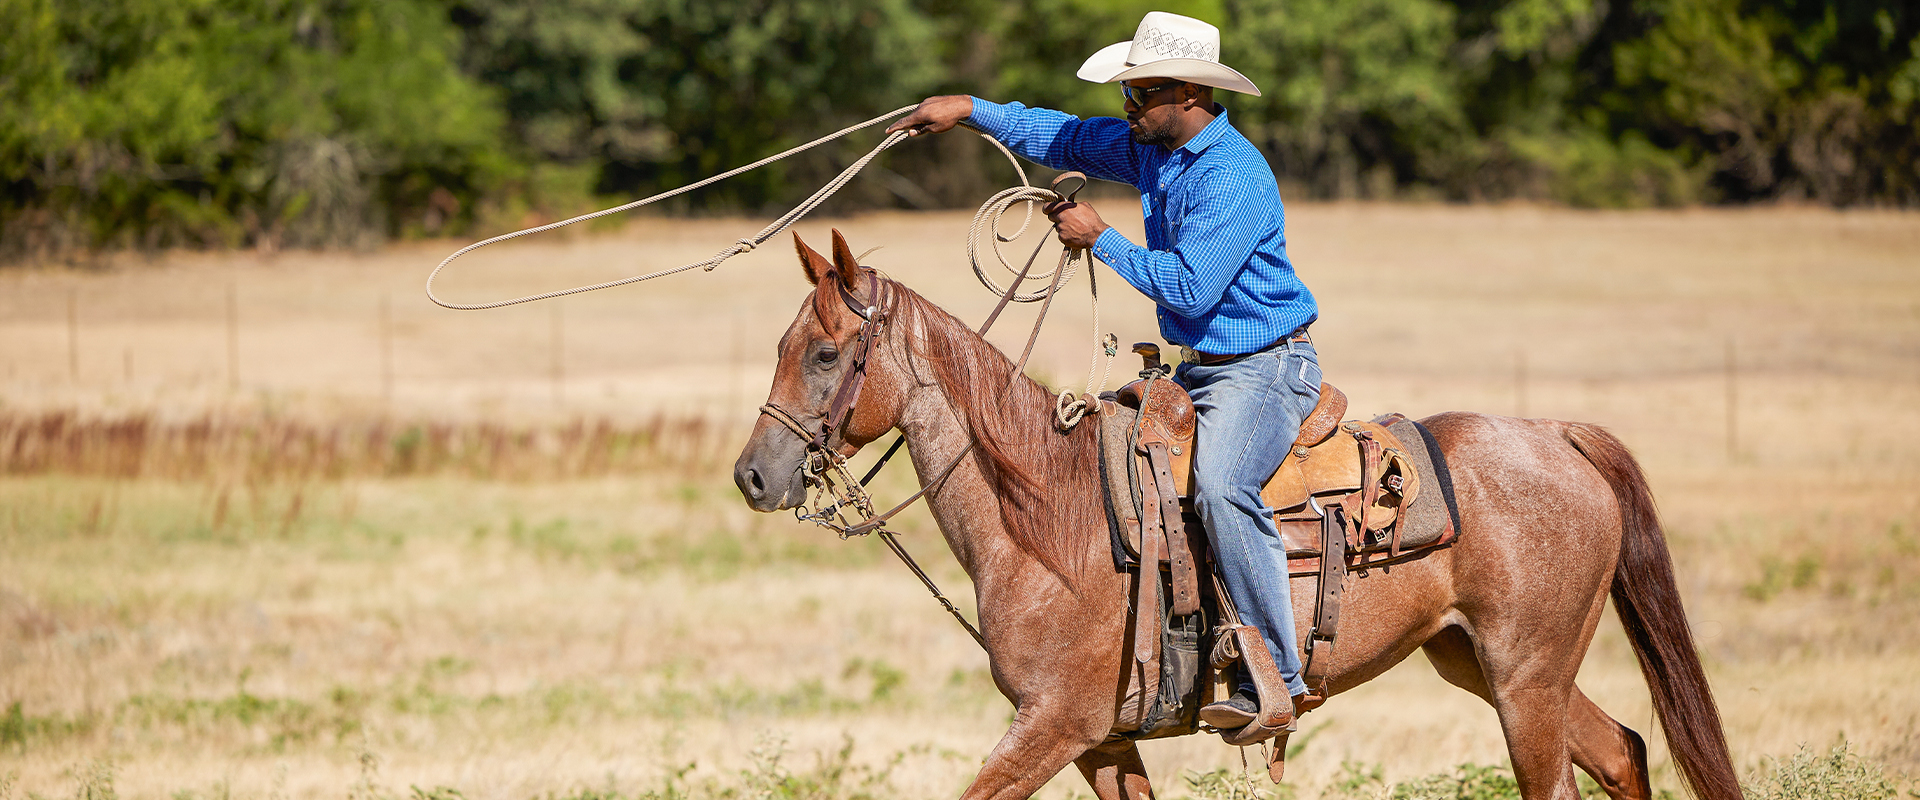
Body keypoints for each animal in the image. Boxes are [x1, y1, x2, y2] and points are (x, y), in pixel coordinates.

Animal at [729, 229, 1743, 798]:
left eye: (825, 354)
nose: (752, 475)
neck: (1051, 519)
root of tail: (1558, 435)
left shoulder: (1051, 726)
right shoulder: (1102, 740)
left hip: (1525, 677)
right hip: (1486, 664)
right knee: (1624, 751)